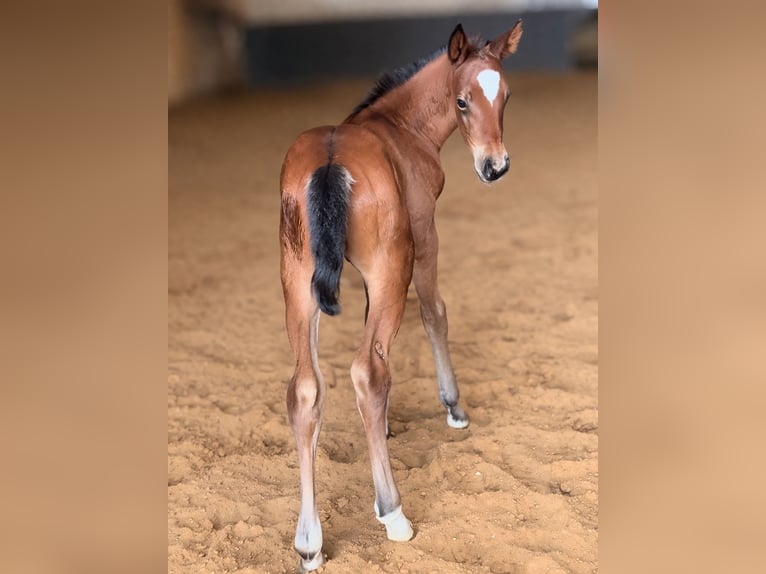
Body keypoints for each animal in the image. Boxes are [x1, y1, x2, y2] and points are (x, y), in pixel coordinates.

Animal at [278, 20, 523, 572]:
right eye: (461, 101)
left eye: (506, 96)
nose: (495, 167)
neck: (399, 126)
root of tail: (330, 164)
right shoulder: (424, 238)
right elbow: (434, 313)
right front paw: (454, 407)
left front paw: (386, 428)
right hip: (392, 265)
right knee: (367, 371)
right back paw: (393, 514)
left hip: (298, 282)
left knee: (306, 389)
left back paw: (309, 542)